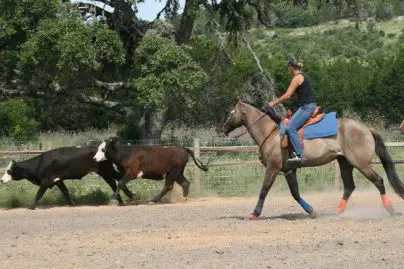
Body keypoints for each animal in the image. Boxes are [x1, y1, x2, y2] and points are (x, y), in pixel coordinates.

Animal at [0, 146, 136, 208]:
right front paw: (71, 203)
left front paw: (31, 206)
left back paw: (128, 196)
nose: (1, 180)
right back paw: (120, 199)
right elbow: (65, 191)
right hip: (105, 173)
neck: (40, 163)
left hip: (107, 171)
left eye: (9, 170)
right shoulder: (58, 180)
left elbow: (39, 193)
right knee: (114, 183)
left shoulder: (46, 180)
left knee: (120, 179)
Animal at [218, 97, 404, 219]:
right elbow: (295, 193)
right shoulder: (288, 170)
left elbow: (264, 189)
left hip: (362, 164)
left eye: (229, 112)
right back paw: (338, 212)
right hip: (345, 163)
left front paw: (254, 214)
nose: (221, 129)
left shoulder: (273, 168)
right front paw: (312, 211)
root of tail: (366, 129)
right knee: (349, 187)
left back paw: (390, 209)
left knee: (379, 181)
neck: (270, 134)